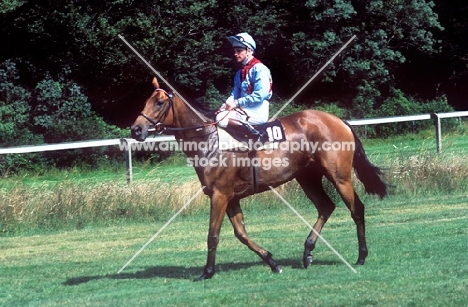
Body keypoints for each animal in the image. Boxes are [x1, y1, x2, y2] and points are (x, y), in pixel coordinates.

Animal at [131, 77, 388, 282]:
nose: (136, 130)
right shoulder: (231, 198)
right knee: (326, 206)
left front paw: (207, 272)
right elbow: (241, 234)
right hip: (307, 178)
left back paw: (361, 256)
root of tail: (339, 121)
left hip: (339, 177)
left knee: (356, 209)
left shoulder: (219, 196)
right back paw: (307, 252)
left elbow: (213, 236)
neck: (209, 141)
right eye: (146, 101)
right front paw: (272, 261)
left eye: (159, 102)